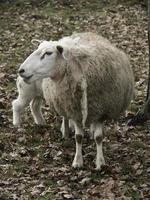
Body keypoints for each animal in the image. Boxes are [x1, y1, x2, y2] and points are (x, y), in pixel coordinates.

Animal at [17, 32, 134, 170]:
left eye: (48, 53)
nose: (21, 70)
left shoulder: (100, 111)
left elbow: (99, 137)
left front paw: (100, 162)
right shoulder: (74, 110)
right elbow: (78, 138)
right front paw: (78, 161)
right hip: (57, 99)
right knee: (62, 116)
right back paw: (64, 129)